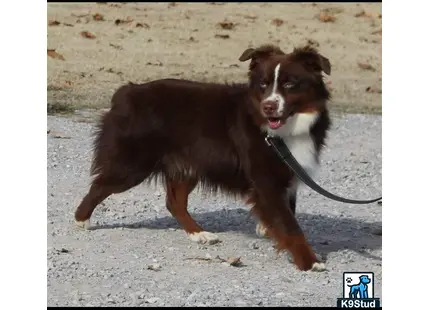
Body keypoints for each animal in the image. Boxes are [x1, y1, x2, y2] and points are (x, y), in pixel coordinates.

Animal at [74, 44, 330, 272]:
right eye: (263, 85)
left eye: (289, 83)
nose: (268, 107)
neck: (287, 129)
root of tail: (127, 91)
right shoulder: (265, 177)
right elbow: (290, 225)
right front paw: (309, 262)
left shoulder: (289, 174)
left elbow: (287, 213)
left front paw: (268, 230)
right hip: (133, 164)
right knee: (99, 185)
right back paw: (81, 220)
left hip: (186, 165)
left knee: (174, 202)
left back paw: (199, 234)